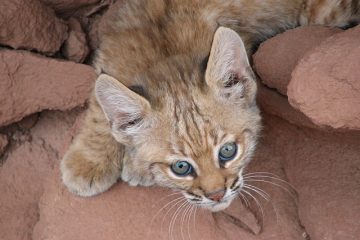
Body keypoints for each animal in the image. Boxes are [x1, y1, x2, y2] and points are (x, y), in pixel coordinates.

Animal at [61, 0, 358, 211]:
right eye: (181, 167)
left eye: (228, 151)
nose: (216, 195)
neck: (164, 54)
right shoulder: (111, 53)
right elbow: (100, 104)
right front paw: (89, 162)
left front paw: (133, 166)